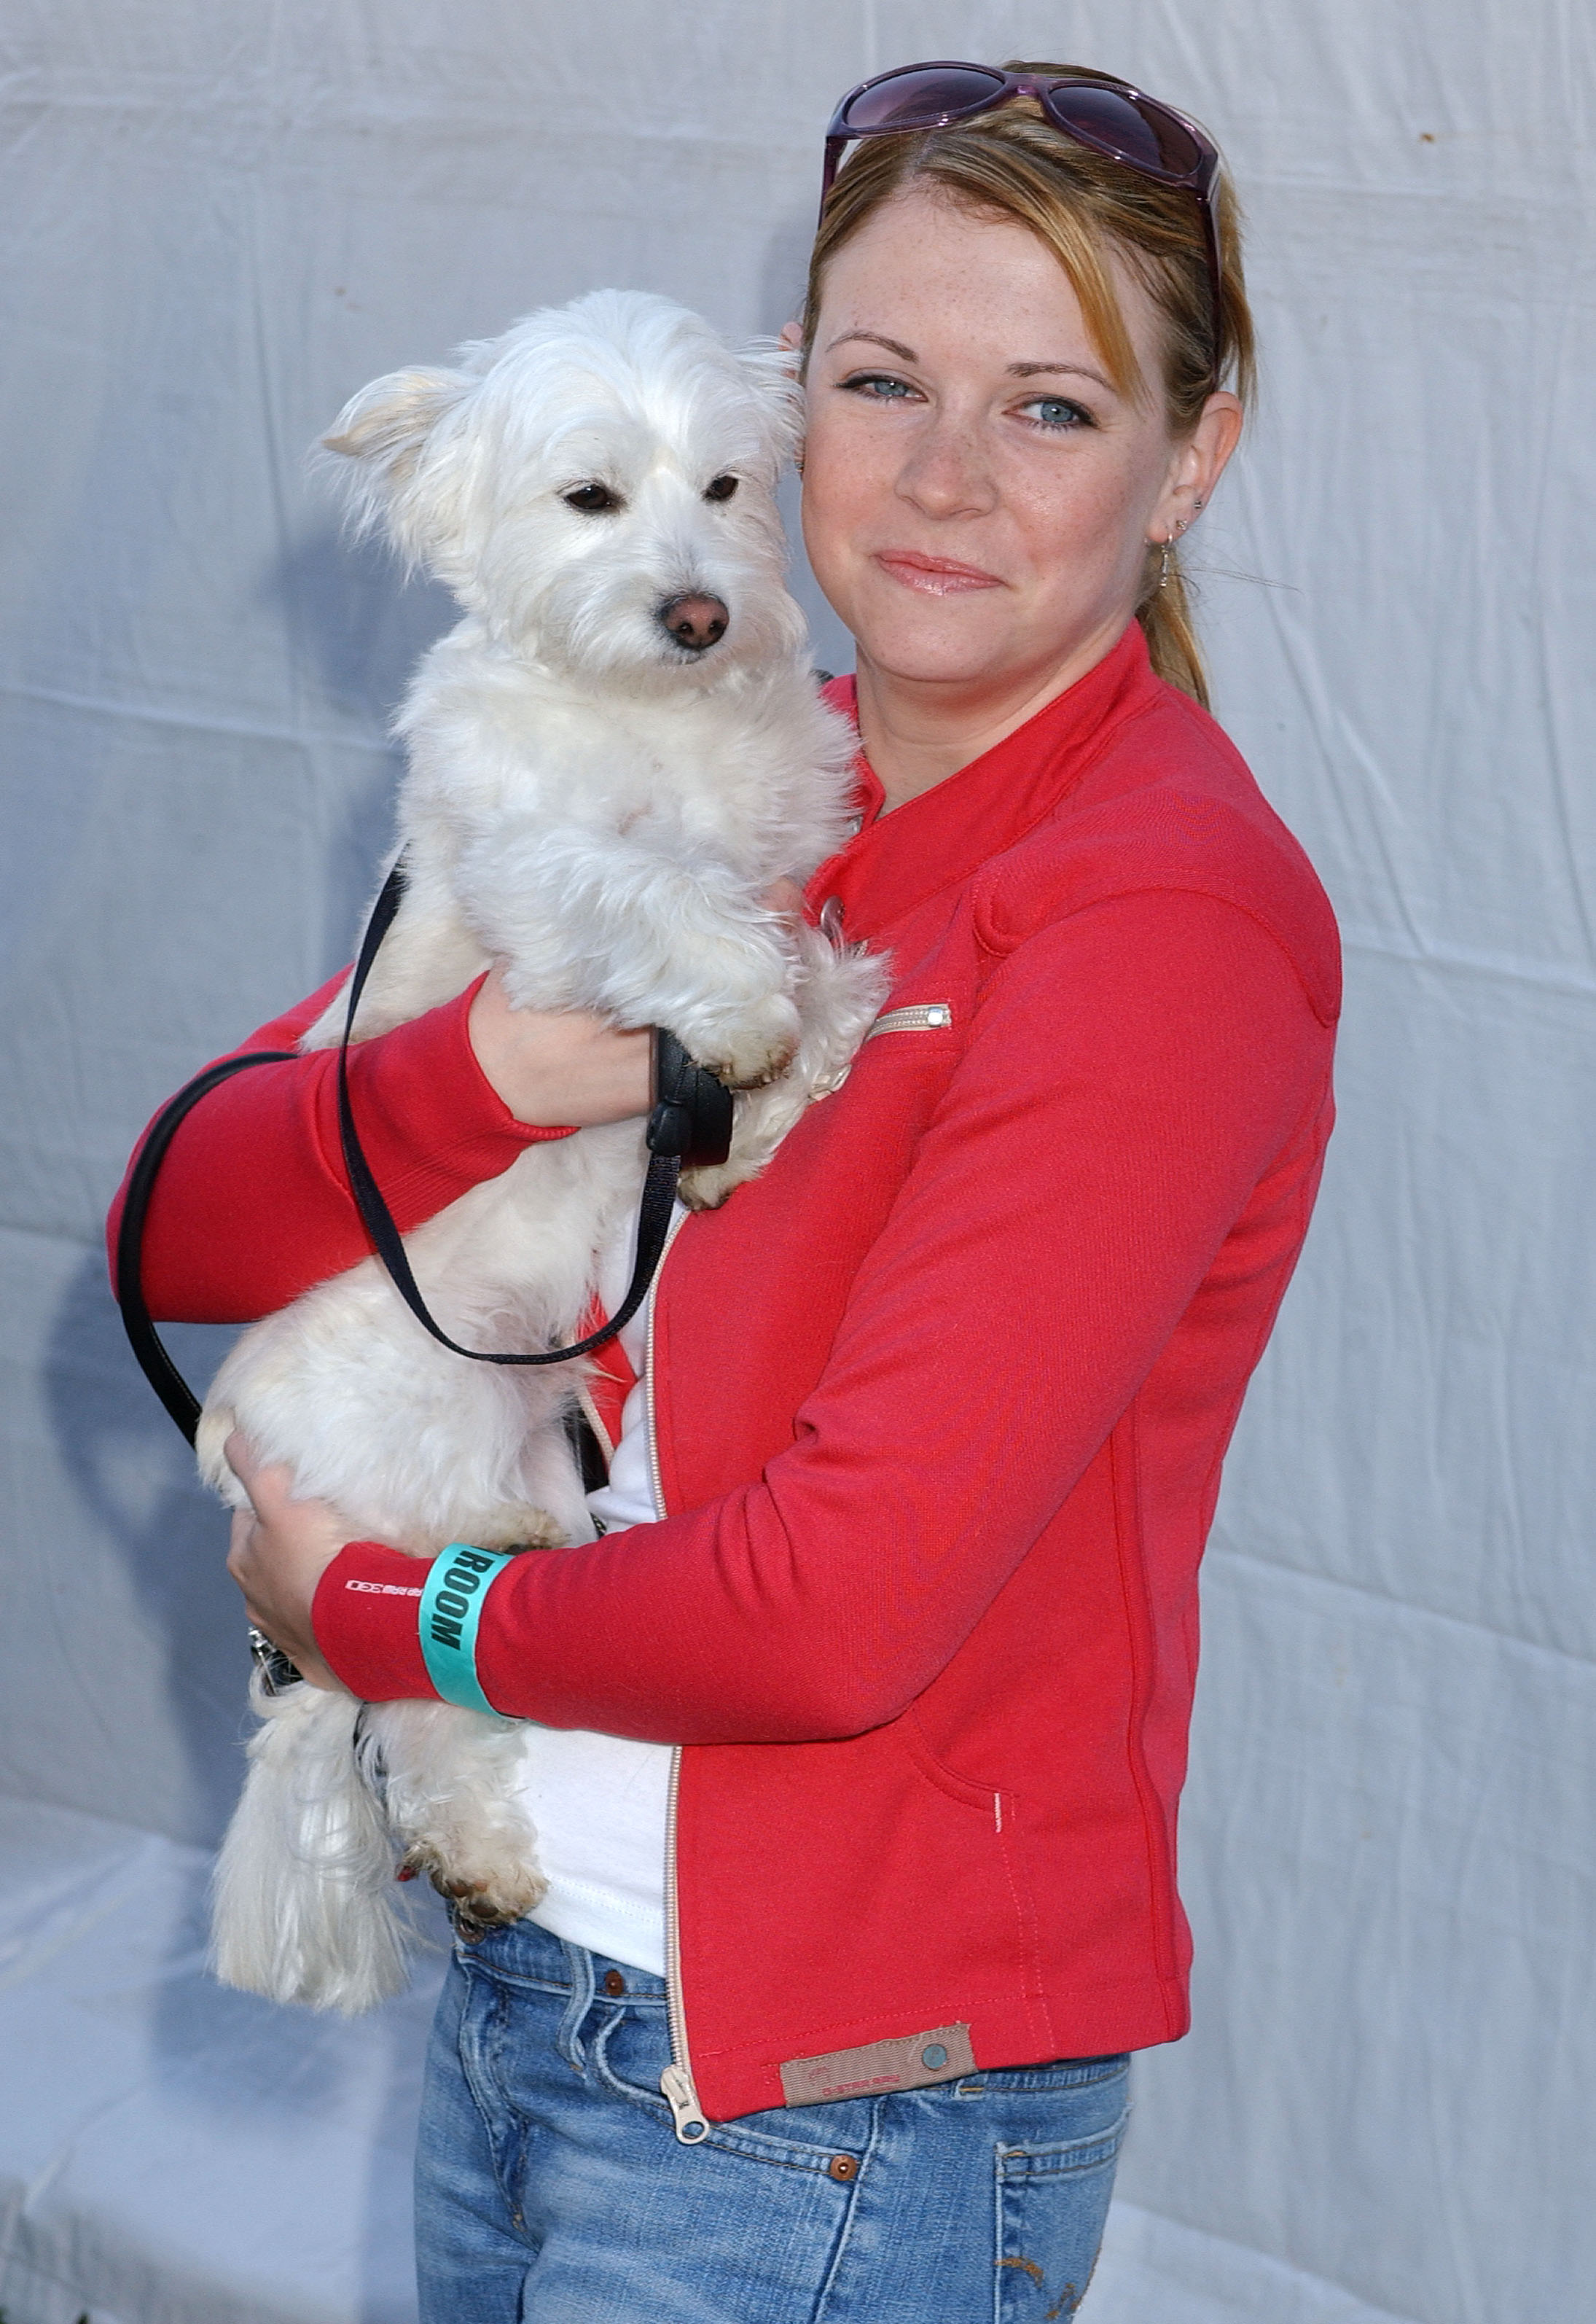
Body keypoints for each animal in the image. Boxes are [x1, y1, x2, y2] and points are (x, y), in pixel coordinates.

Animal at [196, 286, 887, 1998]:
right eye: (591, 499)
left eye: (727, 488)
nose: (702, 611)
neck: (650, 720)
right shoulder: (536, 871)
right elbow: (657, 902)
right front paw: (748, 1018)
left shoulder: (779, 856)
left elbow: (807, 955)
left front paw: (769, 1096)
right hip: (415, 1418)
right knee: (409, 1674)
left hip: (518, 1440)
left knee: (436, 1673)